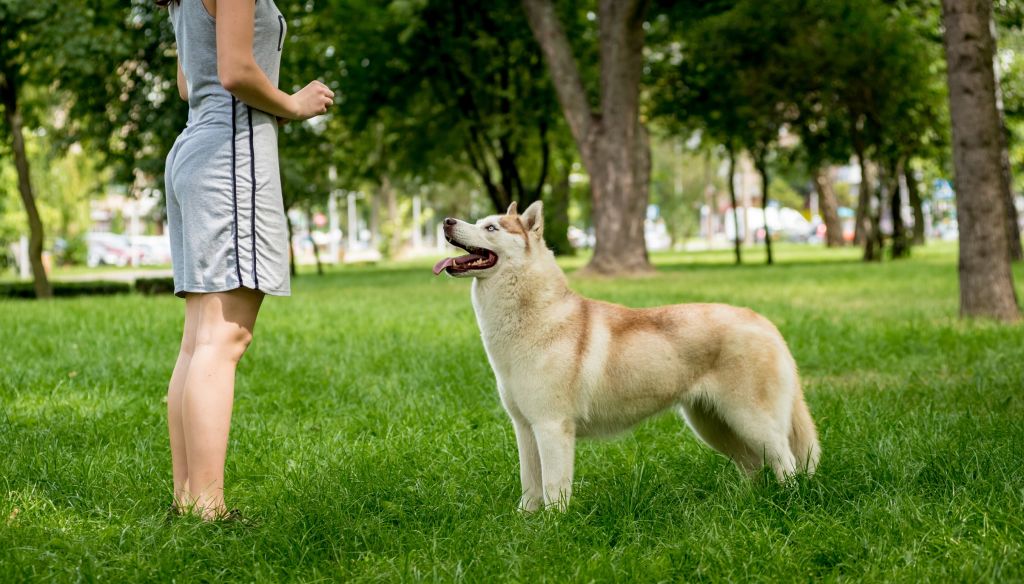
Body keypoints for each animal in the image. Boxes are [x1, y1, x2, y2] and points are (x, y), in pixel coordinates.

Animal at [436, 200, 819, 508]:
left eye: (491, 228)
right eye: (480, 221)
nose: (447, 221)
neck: (532, 318)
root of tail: (763, 320)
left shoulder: (552, 427)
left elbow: (553, 488)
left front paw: (554, 529)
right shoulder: (525, 428)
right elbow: (530, 487)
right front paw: (526, 526)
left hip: (750, 420)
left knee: (785, 460)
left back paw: (790, 503)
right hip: (713, 424)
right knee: (752, 466)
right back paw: (742, 504)